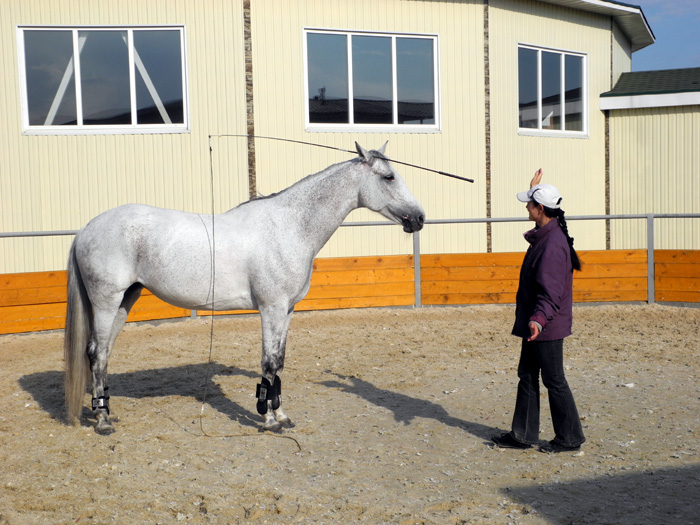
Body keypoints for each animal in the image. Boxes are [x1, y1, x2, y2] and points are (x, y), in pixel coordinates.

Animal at [64, 142, 425, 433]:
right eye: (389, 177)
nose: (419, 217)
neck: (288, 227)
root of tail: (85, 230)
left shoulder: (287, 311)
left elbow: (279, 363)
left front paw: (282, 415)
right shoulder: (271, 309)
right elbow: (268, 363)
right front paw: (268, 420)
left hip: (126, 300)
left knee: (104, 353)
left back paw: (105, 410)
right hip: (107, 302)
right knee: (96, 354)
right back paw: (103, 421)